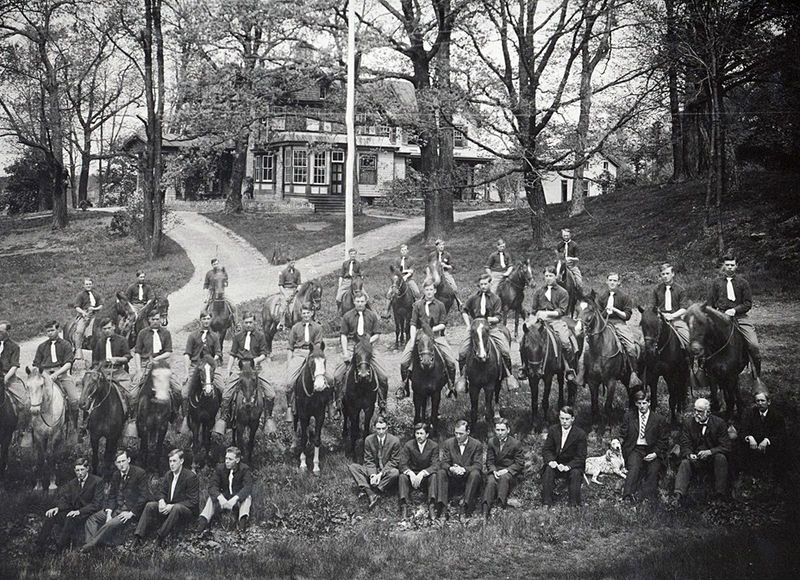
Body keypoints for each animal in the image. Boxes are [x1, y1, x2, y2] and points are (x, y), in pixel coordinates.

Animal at [294, 342, 332, 474]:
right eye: (311, 362)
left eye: (325, 361)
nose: (320, 385)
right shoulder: (303, 415)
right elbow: (303, 438)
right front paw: (303, 463)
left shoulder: (320, 415)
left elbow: (317, 439)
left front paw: (316, 466)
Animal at [580, 294, 636, 426]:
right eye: (577, 308)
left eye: (590, 310)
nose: (578, 329)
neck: (599, 350)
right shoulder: (593, 382)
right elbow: (594, 406)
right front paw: (595, 425)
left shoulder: (611, 382)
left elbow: (607, 407)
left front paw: (608, 428)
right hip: (625, 377)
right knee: (630, 390)